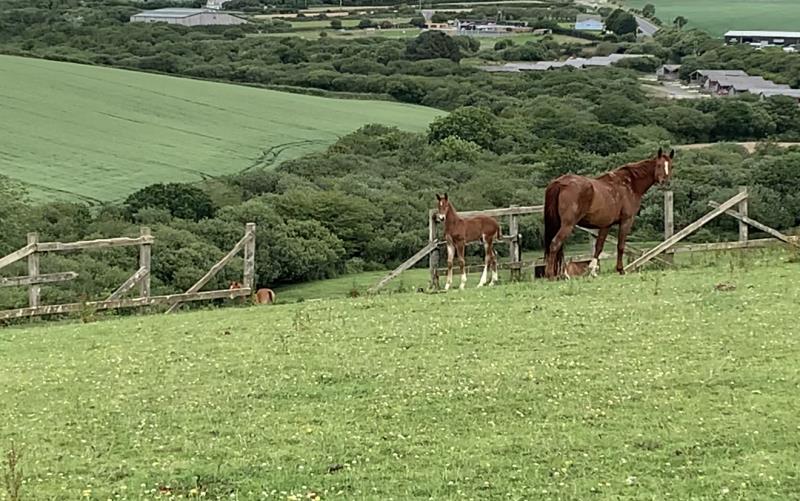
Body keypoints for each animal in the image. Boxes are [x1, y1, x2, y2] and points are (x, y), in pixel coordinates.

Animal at [544, 148, 676, 280]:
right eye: (659, 165)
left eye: (671, 166)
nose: (665, 182)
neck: (629, 184)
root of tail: (561, 182)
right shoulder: (626, 221)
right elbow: (620, 245)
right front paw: (621, 269)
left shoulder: (606, 225)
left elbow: (599, 247)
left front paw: (593, 271)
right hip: (568, 224)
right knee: (555, 244)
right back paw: (551, 275)